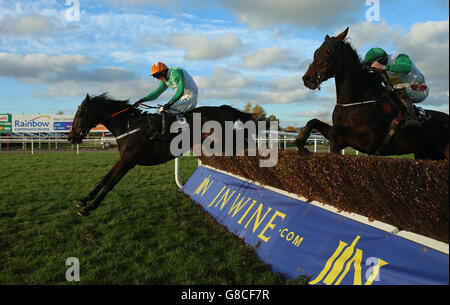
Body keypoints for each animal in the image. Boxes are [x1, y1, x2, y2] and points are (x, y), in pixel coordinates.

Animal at [68, 94, 255, 215]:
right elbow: (104, 179)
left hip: (224, 141)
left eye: (80, 114)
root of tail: (223, 109)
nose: (71, 137)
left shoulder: (129, 161)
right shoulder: (123, 159)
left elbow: (109, 184)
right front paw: (83, 200)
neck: (129, 127)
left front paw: (89, 208)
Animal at [298, 27, 448, 160]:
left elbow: (335, 131)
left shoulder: (369, 141)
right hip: (426, 153)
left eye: (329, 51)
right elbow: (314, 122)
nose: (307, 78)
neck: (356, 100)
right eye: (316, 51)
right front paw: (300, 143)